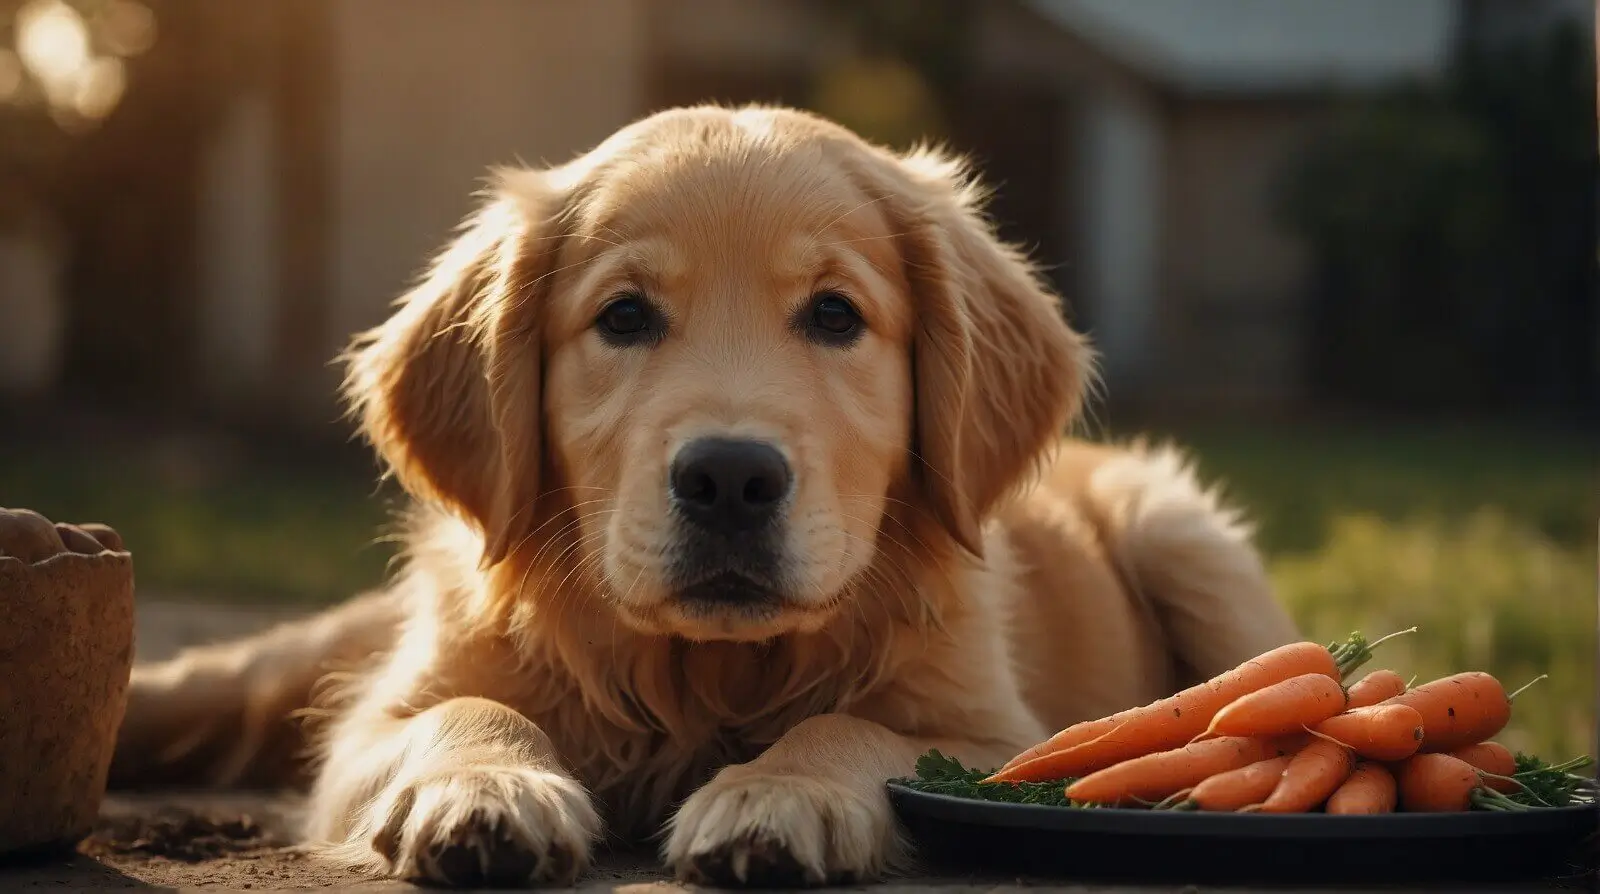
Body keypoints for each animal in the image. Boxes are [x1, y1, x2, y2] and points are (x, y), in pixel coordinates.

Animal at [106, 104, 1299, 889]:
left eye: (834, 315)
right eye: (624, 317)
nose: (730, 477)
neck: (703, 675)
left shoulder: (993, 737)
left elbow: (853, 726)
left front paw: (779, 797)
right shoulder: (376, 721)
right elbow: (462, 708)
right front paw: (485, 791)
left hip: (1184, 536)